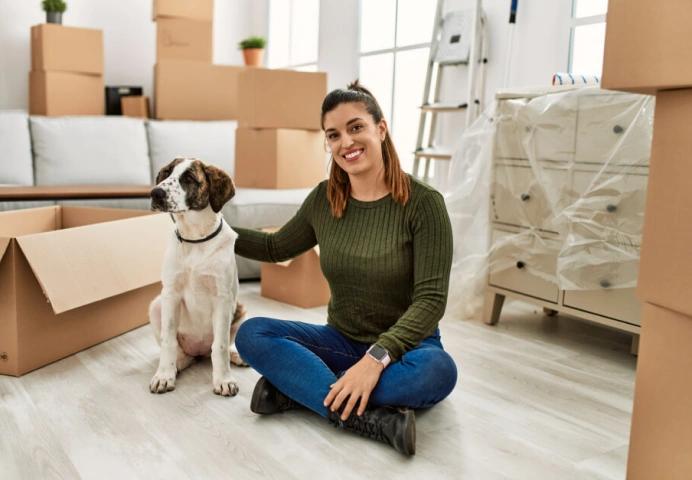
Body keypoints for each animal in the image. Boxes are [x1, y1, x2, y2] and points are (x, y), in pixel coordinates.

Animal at [149, 159, 246, 396]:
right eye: (166, 173)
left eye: (189, 178)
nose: (155, 193)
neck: (195, 238)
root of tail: (199, 351)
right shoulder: (171, 294)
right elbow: (168, 340)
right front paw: (164, 375)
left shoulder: (223, 298)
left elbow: (220, 345)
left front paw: (224, 379)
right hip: (156, 306)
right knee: (181, 352)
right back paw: (177, 364)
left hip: (240, 308)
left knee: (224, 343)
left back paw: (235, 355)